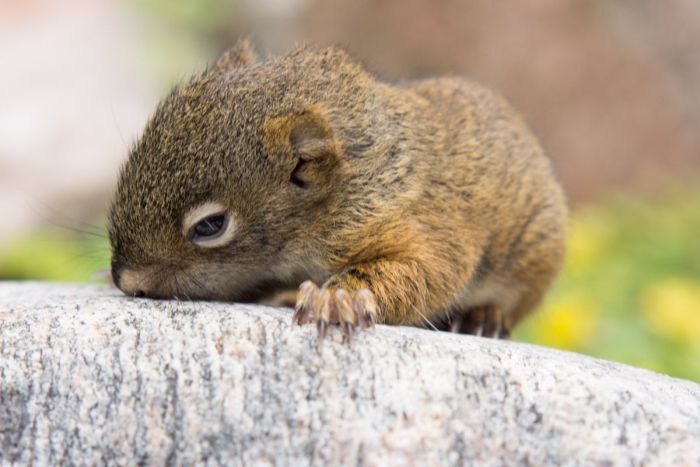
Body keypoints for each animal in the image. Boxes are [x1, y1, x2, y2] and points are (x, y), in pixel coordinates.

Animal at [108, 40, 568, 340]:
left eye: (210, 226)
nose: (125, 280)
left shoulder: (415, 222)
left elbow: (429, 269)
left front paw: (338, 298)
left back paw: (485, 317)